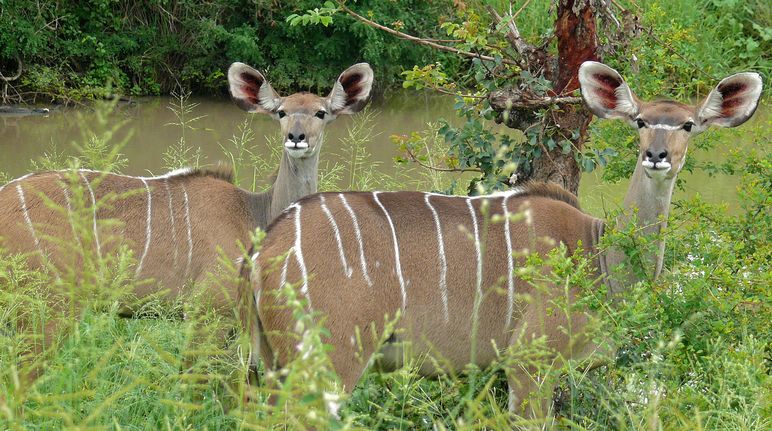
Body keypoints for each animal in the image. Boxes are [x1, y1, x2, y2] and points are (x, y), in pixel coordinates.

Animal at [0, 60, 374, 384]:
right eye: (281, 112)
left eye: (321, 113)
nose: (296, 137)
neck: (254, 214)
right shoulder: (209, 311)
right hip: (47, 307)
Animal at [244, 62, 764, 420]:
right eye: (639, 121)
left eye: (688, 125)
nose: (657, 155)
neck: (598, 254)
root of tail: (267, 247)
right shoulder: (529, 362)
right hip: (330, 361)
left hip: (275, 362)